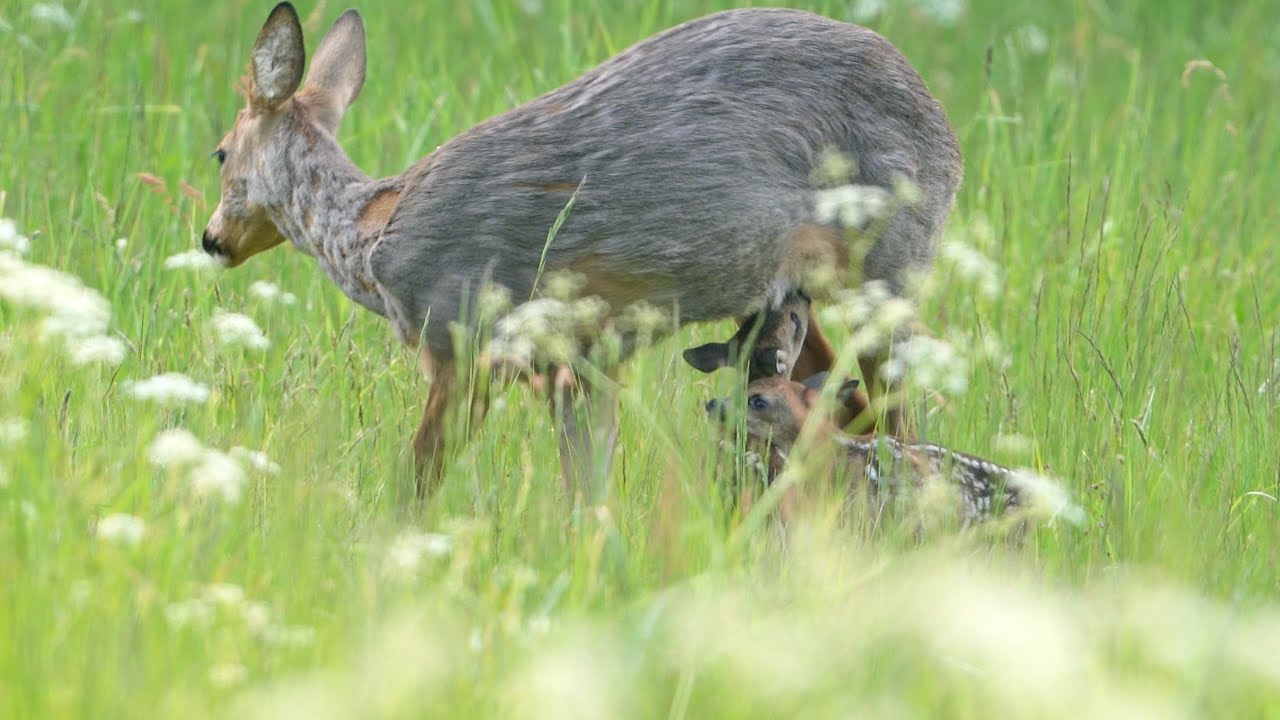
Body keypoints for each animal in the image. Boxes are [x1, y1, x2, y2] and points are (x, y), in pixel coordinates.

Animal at [199, 3, 963, 500]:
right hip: (784, 301)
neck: (370, 240)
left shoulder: (465, 342)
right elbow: (587, 491)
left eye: (220, 153)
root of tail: (944, 126)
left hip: (891, 266)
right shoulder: (579, 360)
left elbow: (419, 478)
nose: (212, 240)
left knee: (902, 420)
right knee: (844, 406)